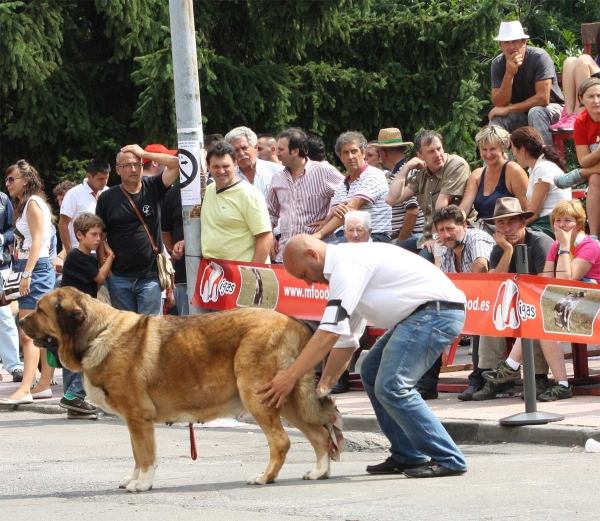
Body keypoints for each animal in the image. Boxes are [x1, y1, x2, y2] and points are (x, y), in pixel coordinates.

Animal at [21, 288, 344, 492]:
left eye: (39, 310)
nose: (21, 319)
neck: (97, 333)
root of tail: (295, 322)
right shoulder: (134, 421)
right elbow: (137, 454)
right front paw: (134, 479)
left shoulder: (138, 418)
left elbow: (145, 455)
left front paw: (143, 484)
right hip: (287, 397)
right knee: (318, 434)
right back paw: (319, 472)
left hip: (257, 395)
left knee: (281, 441)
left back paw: (265, 478)